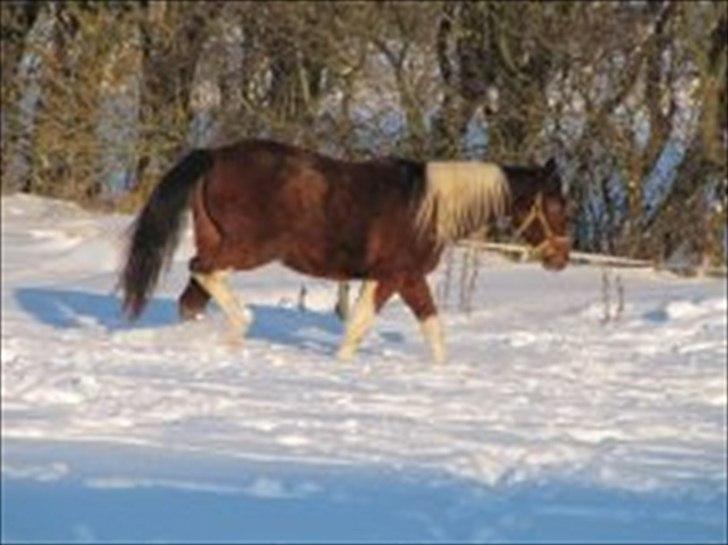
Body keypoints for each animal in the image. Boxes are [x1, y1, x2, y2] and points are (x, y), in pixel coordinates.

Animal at [120, 139, 570, 363]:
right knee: (203, 270)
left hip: (220, 241)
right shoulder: (399, 275)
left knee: (193, 294)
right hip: (250, 248)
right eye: (555, 206)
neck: (428, 207)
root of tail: (214, 156)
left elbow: (424, 329)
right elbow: (369, 327)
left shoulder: (393, 279)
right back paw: (241, 325)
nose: (561, 258)